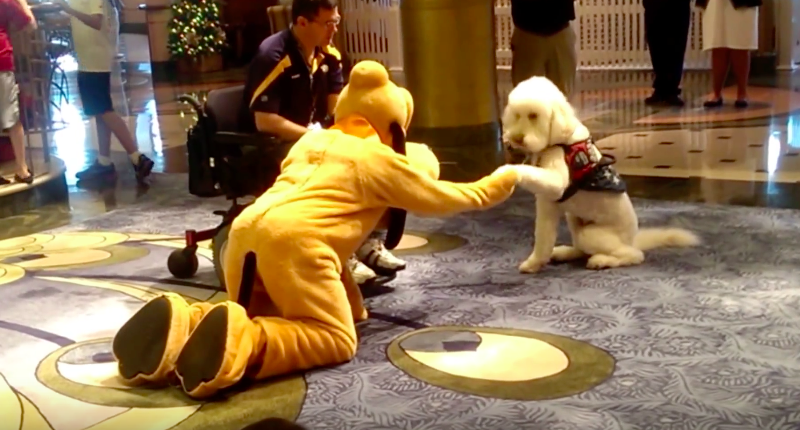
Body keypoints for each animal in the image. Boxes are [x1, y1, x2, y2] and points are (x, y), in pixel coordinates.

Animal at [501, 76, 699, 273]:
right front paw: (536, 263)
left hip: (591, 234)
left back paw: (602, 260)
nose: (515, 139)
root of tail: (633, 239)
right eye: (516, 115)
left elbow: (542, 238)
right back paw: (566, 252)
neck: (559, 139)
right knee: (582, 249)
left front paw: (510, 171)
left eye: (534, 116)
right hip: (575, 219)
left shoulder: (556, 183)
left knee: (634, 255)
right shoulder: (547, 205)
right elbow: (544, 238)